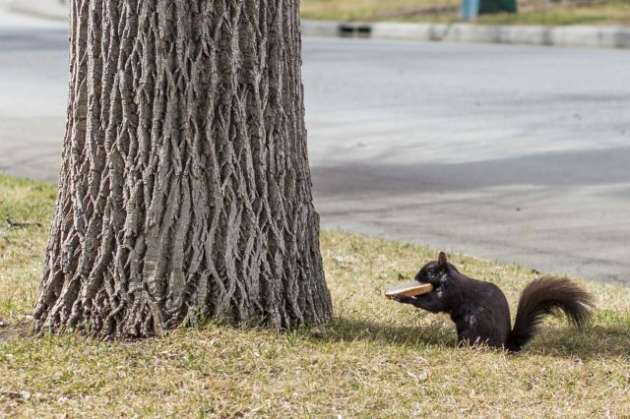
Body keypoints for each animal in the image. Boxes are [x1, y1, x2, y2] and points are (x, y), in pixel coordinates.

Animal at [392, 251, 596, 352]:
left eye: (429, 271)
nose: (416, 278)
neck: (449, 277)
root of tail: (505, 345)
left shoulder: (451, 291)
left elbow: (434, 304)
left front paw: (405, 297)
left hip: (473, 326)